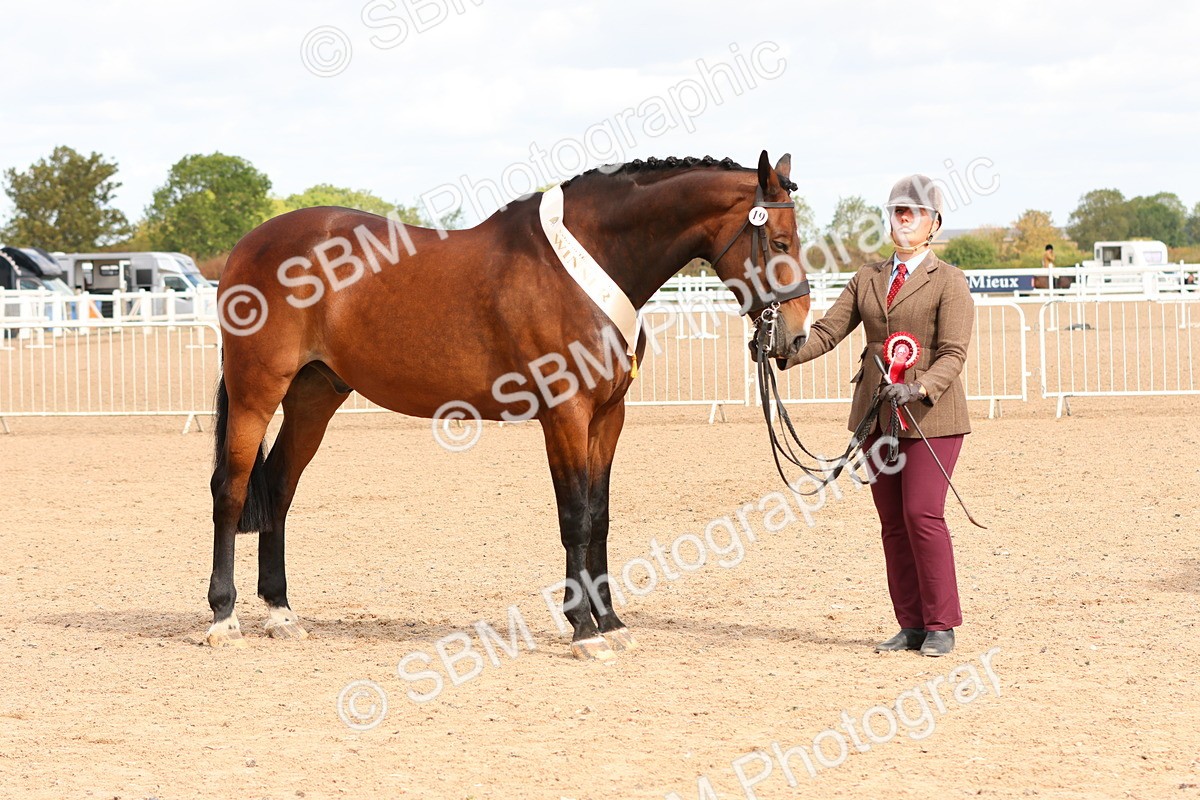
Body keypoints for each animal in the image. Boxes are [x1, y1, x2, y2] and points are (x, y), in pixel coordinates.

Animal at [207, 150, 812, 660]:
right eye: (780, 243)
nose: (796, 335)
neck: (588, 264)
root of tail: (248, 245)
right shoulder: (565, 415)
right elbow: (575, 517)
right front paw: (583, 630)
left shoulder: (608, 417)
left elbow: (600, 516)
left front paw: (612, 622)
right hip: (256, 391)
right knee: (231, 490)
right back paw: (223, 618)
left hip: (314, 396)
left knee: (279, 489)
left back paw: (281, 613)